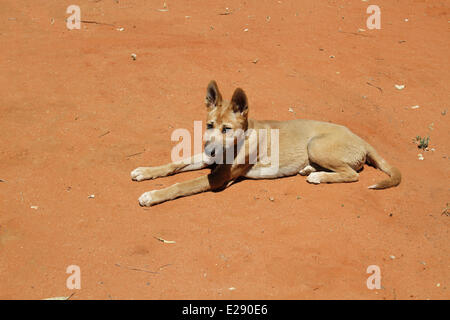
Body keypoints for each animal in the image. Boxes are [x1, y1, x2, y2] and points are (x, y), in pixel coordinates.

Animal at [131, 79, 400, 205]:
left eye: (227, 129)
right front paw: (145, 171)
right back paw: (309, 169)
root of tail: (361, 138)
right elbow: (174, 165)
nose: (210, 150)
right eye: (209, 125)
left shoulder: (219, 177)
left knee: (353, 174)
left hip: (316, 145)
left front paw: (152, 195)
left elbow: (180, 185)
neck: (240, 140)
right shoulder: (209, 160)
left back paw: (318, 176)